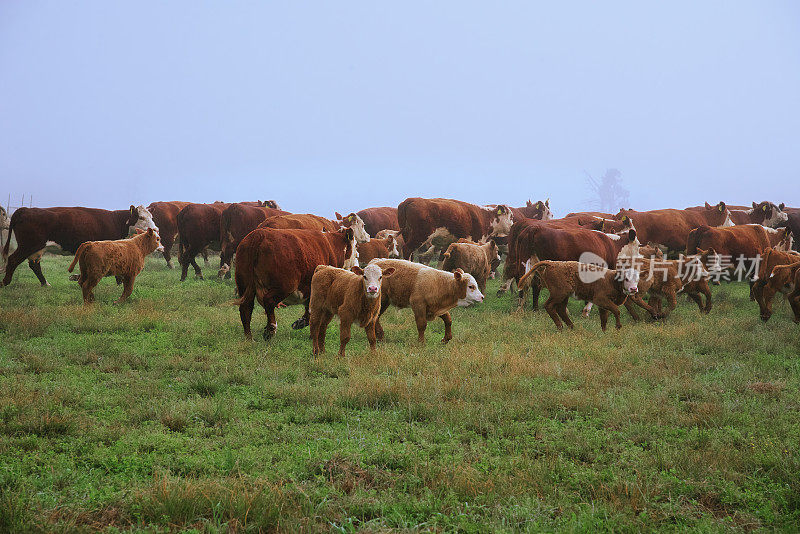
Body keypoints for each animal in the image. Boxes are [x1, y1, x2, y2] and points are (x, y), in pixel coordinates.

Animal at [1, 206, 150, 288]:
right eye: (141, 218)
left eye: (151, 217)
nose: (153, 229)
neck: (116, 221)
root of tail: (25, 210)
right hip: (28, 245)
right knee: (13, 260)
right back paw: (5, 282)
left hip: (36, 248)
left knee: (34, 265)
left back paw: (45, 284)